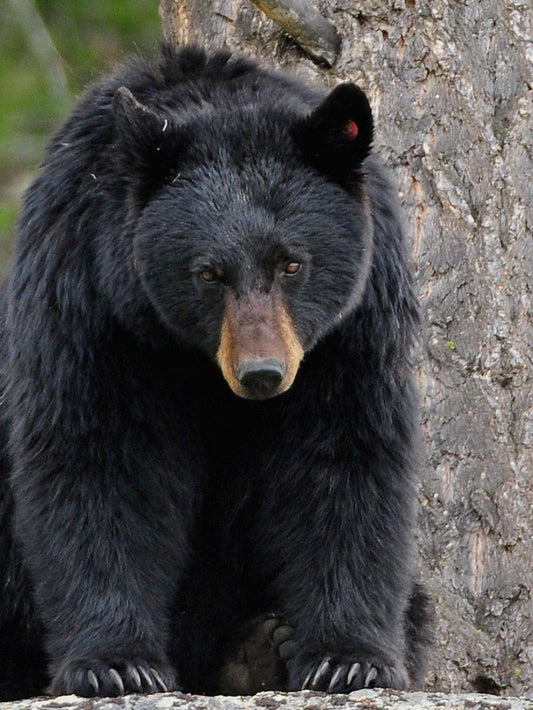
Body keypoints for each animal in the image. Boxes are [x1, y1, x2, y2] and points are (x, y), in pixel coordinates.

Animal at [0, 45, 431, 700]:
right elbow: (99, 456)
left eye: (291, 264)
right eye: (208, 273)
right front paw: (115, 664)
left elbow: (344, 458)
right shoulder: (89, 297)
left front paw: (349, 658)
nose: (262, 373)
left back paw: (262, 647)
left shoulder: (352, 327)